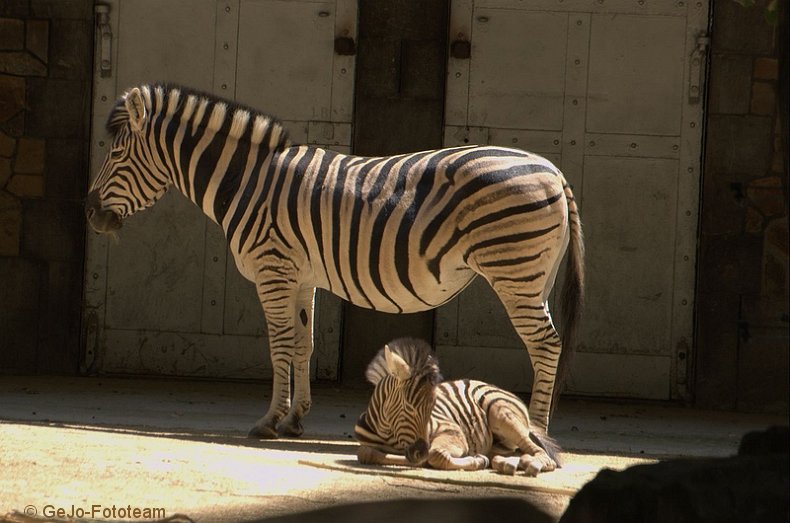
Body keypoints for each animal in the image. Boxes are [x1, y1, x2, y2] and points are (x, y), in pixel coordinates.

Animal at [86, 84, 584, 440]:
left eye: (115, 154)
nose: (90, 214)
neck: (246, 182)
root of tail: (555, 170)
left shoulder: (272, 269)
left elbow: (279, 346)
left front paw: (268, 421)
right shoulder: (299, 275)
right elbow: (302, 345)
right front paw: (294, 419)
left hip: (515, 273)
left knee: (546, 346)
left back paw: (537, 432)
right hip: (536, 276)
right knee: (548, 345)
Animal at [356, 338, 560, 476]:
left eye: (432, 408)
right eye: (408, 406)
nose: (420, 451)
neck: (387, 432)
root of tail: (493, 386)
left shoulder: (452, 432)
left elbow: (436, 454)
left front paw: (476, 461)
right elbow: (365, 453)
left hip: (501, 413)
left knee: (542, 454)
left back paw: (529, 464)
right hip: (500, 443)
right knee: (513, 452)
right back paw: (505, 463)